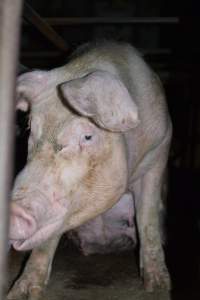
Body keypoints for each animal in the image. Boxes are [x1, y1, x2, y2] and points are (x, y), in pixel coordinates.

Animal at [7, 40, 172, 300]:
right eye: (31, 128)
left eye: (87, 136)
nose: (12, 209)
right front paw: (20, 293)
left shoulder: (160, 148)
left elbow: (148, 219)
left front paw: (157, 287)